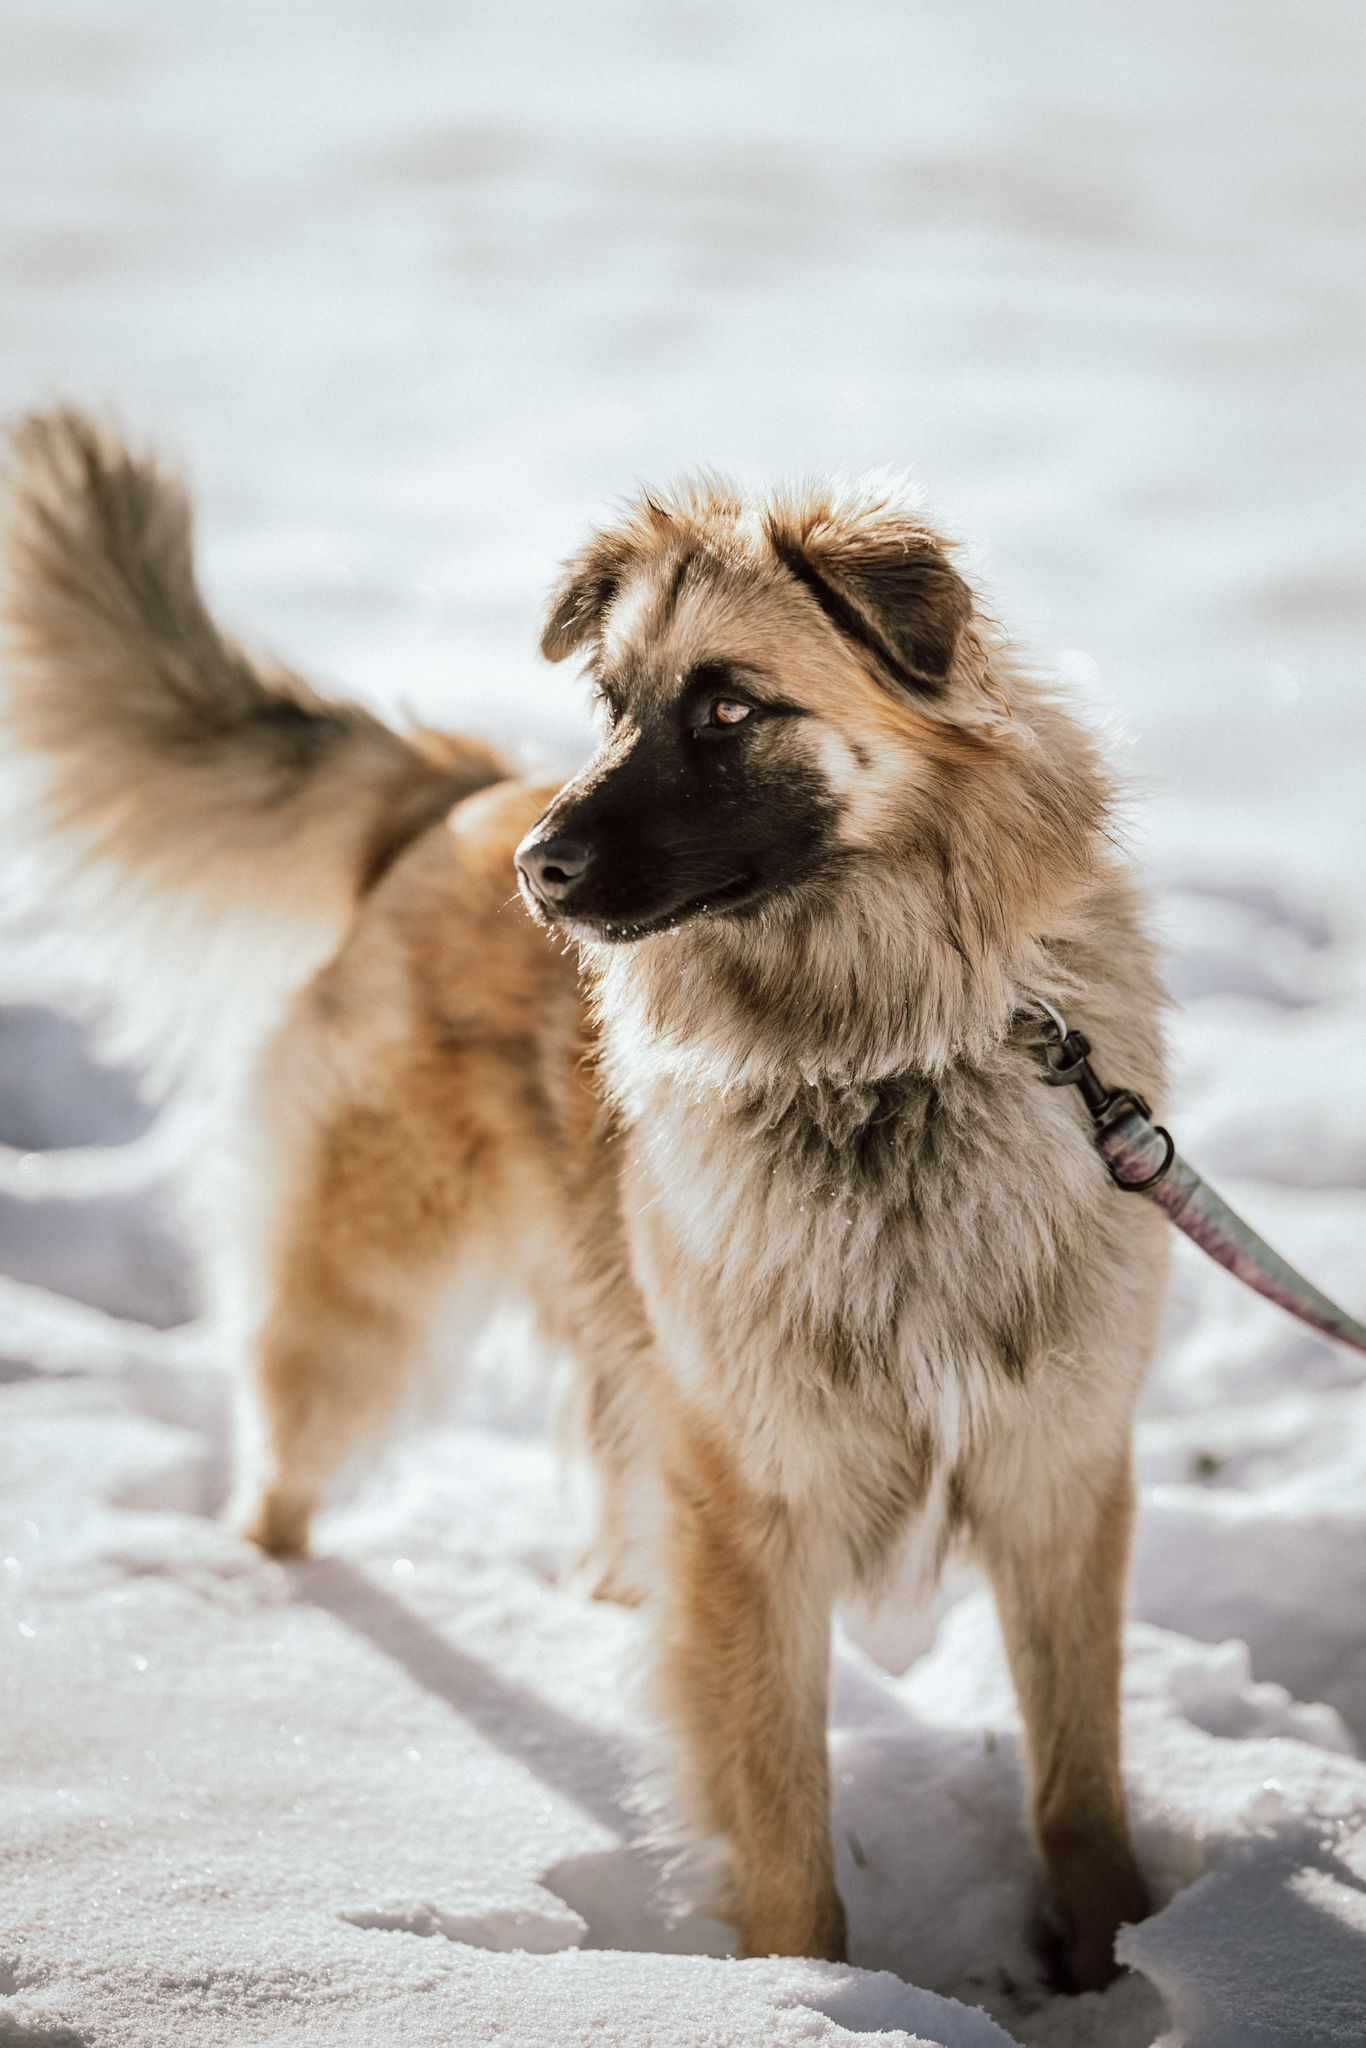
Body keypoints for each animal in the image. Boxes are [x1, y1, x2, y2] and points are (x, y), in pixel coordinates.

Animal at [5, 407, 1171, 1990]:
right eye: (612, 706)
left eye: (729, 708)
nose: (538, 872)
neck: (882, 1058)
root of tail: (450, 798)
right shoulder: (754, 1503)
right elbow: (781, 1820)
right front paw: (808, 1994)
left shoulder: (1056, 1473)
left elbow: (1075, 1784)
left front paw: (1116, 1966)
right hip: (362, 1309)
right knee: (287, 1479)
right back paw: (263, 1612)